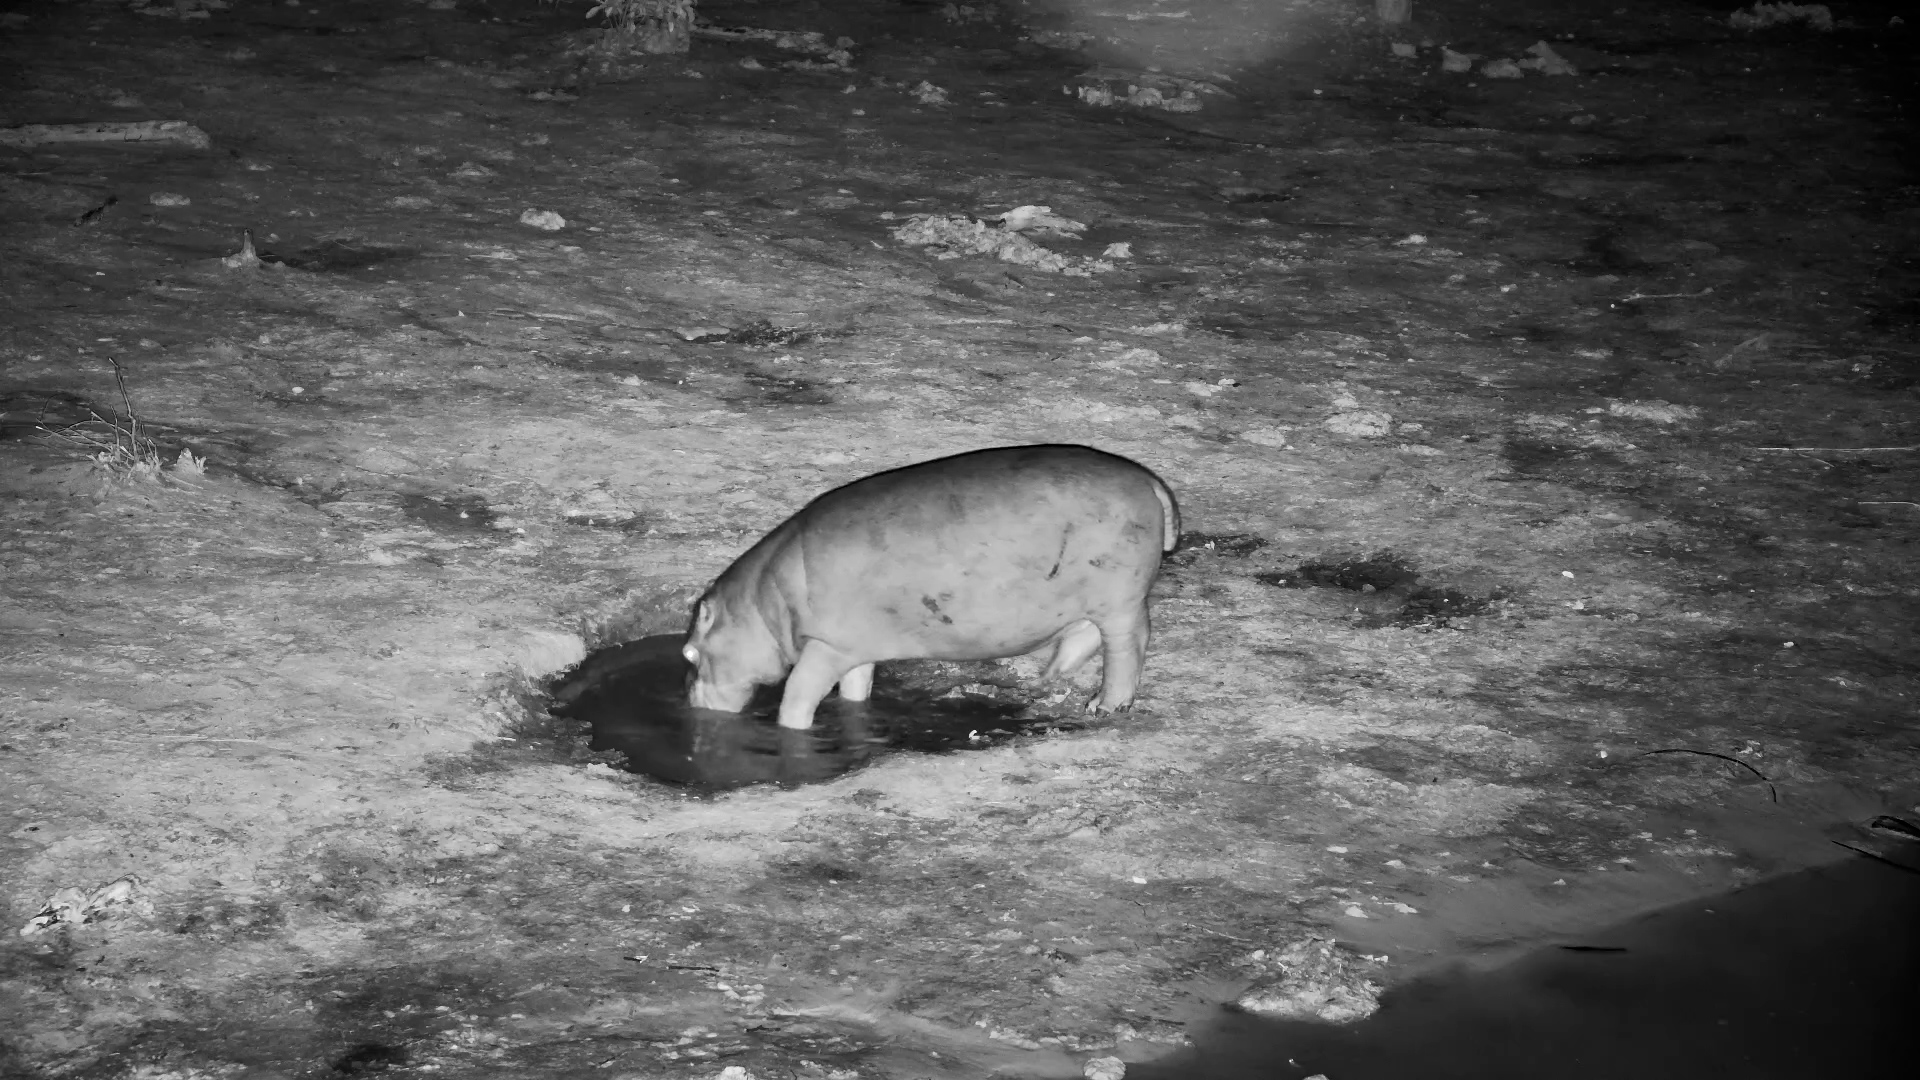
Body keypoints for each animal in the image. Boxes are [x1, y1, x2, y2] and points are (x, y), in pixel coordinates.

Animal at [682, 444, 1180, 729]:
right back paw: (1049, 675)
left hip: (1119, 599)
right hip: (1093, 598)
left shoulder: (824, 645)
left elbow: (798, 695)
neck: (760, 607)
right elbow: (855, 686)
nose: (689, 699)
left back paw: (1103, 707)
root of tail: (1150, 481)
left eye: (688, 653)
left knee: (1127, 646)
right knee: (1086, 634)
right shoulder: (854, 646)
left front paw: (790, 727)